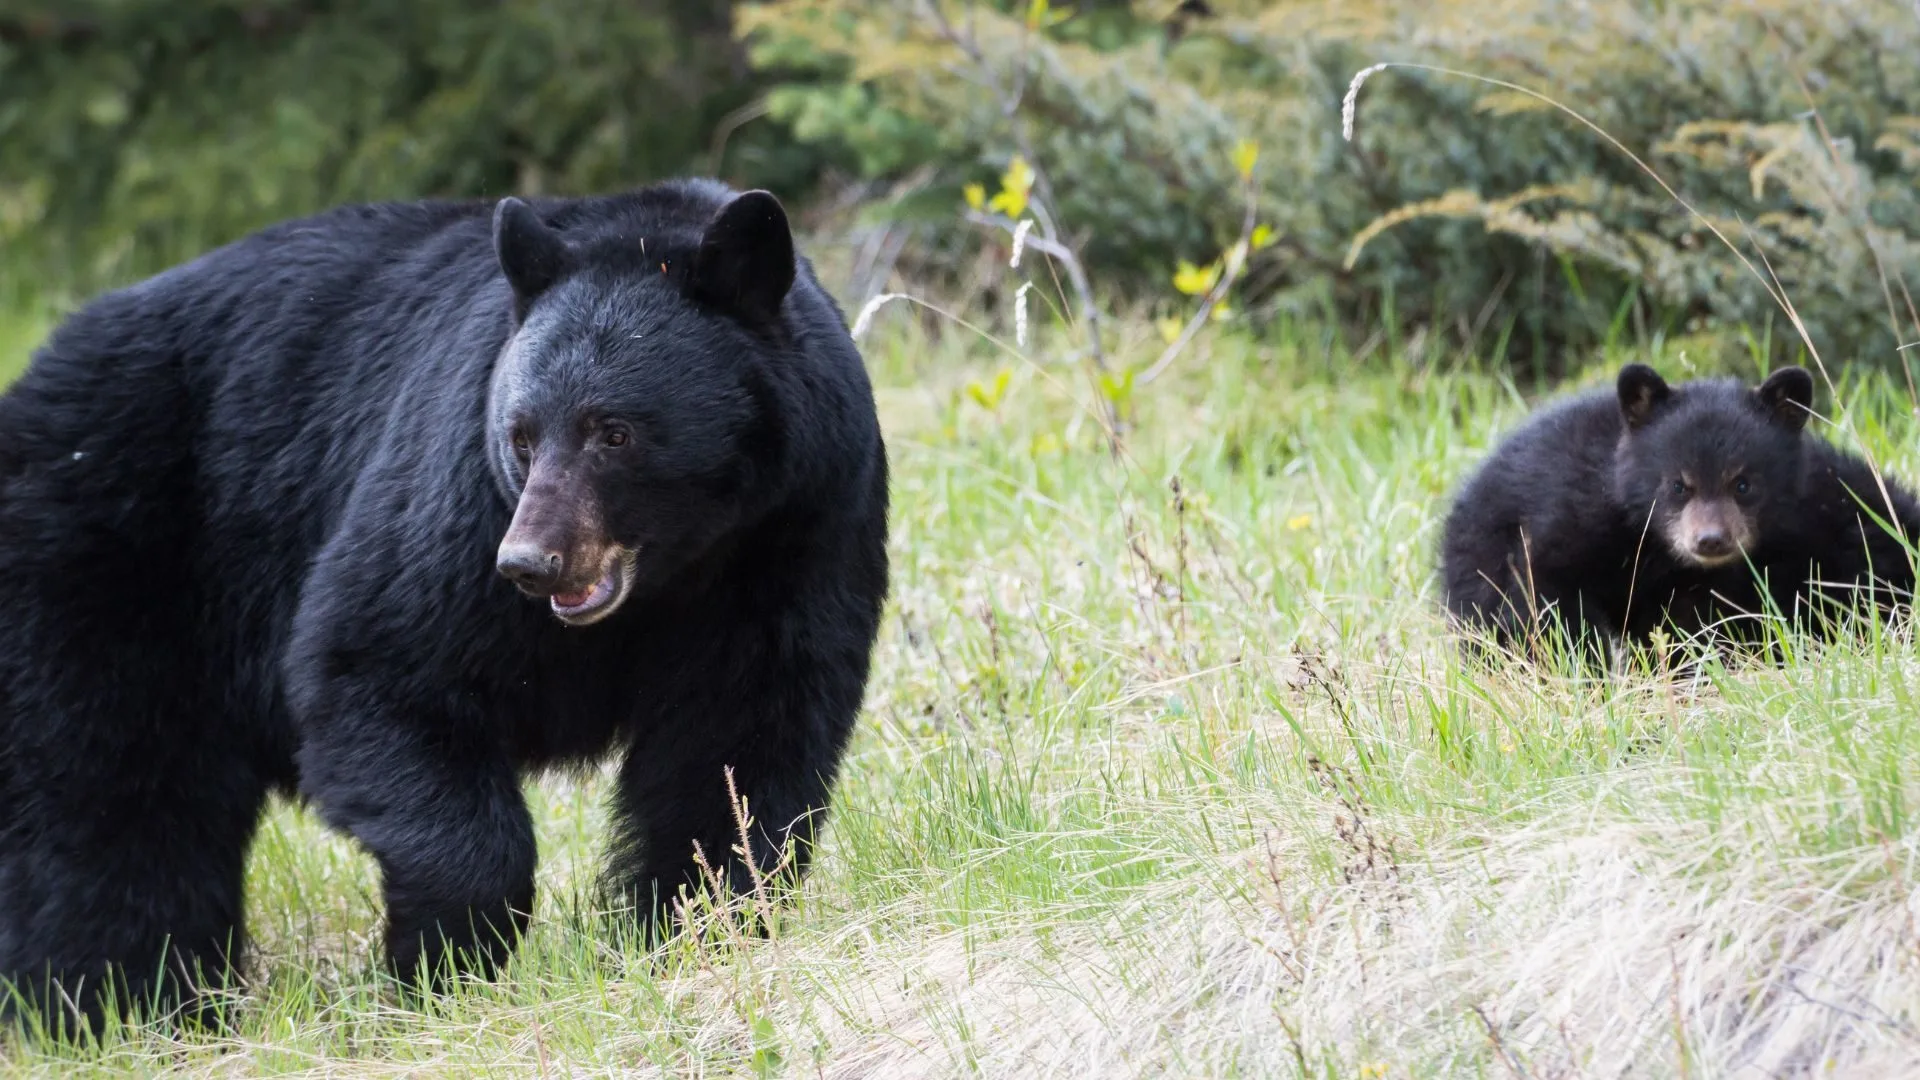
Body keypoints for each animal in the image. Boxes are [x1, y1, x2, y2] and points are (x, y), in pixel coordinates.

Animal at [0, 178, 889, 1034]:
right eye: (522, 434)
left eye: (614, 432)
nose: (529, 564)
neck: (674, 572)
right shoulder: (457, 504)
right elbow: (380, 669)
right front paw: (441, 963)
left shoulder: (796, 532)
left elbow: (738, 743)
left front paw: (691, 931)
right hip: (102, 551)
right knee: (107, 799)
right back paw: (110, 1001)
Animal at [1441, 362, 1920, 662]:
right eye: (1677, 484)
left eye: (1743, 483)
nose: (1710, 540)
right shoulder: (1565, 522)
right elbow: (1544, 602)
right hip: (1480, 554)